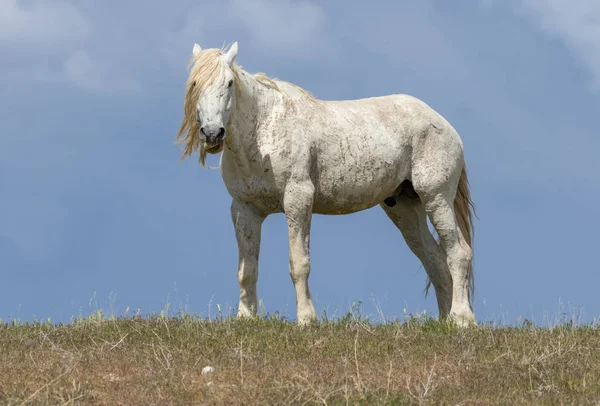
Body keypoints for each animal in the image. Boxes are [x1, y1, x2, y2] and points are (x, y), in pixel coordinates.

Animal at [176, 42, 476, 326]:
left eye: (228, 82)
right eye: (195, 84)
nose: (212, 134)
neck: (263, 131)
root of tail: (445, 125)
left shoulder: (298, 200)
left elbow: (299, 263)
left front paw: (306, 318)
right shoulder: (244, 209)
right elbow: (247, 268)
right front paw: (246, 317)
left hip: (436, 198)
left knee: (458, 253)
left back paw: (462, 318)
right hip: (404, 208)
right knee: (434, 259)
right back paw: (446, 319)